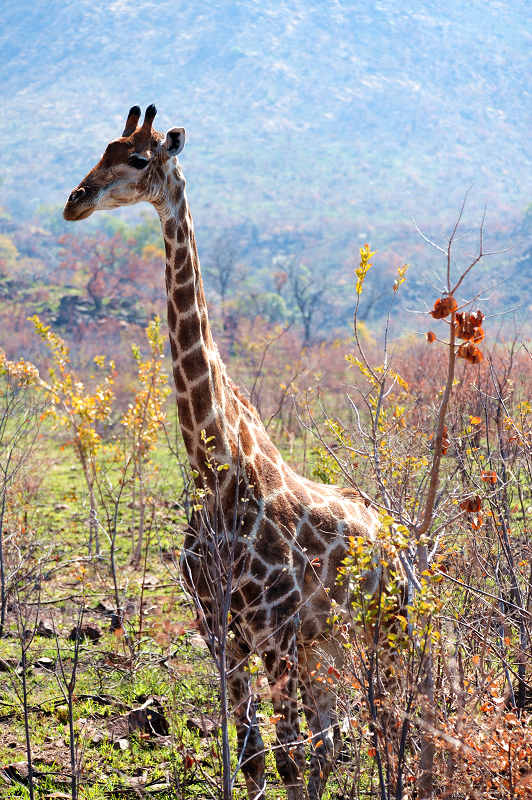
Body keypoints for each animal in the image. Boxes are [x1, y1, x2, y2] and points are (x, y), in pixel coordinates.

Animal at [64, 106, 382, 800]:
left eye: (138, 159)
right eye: (102, 149)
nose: (75, 200)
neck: (217, 469)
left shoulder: (275, 628)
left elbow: (288, 760)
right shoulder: (219, 629)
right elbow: (257, 758)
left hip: (384, 627)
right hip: (327, 645)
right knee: (330, 741)